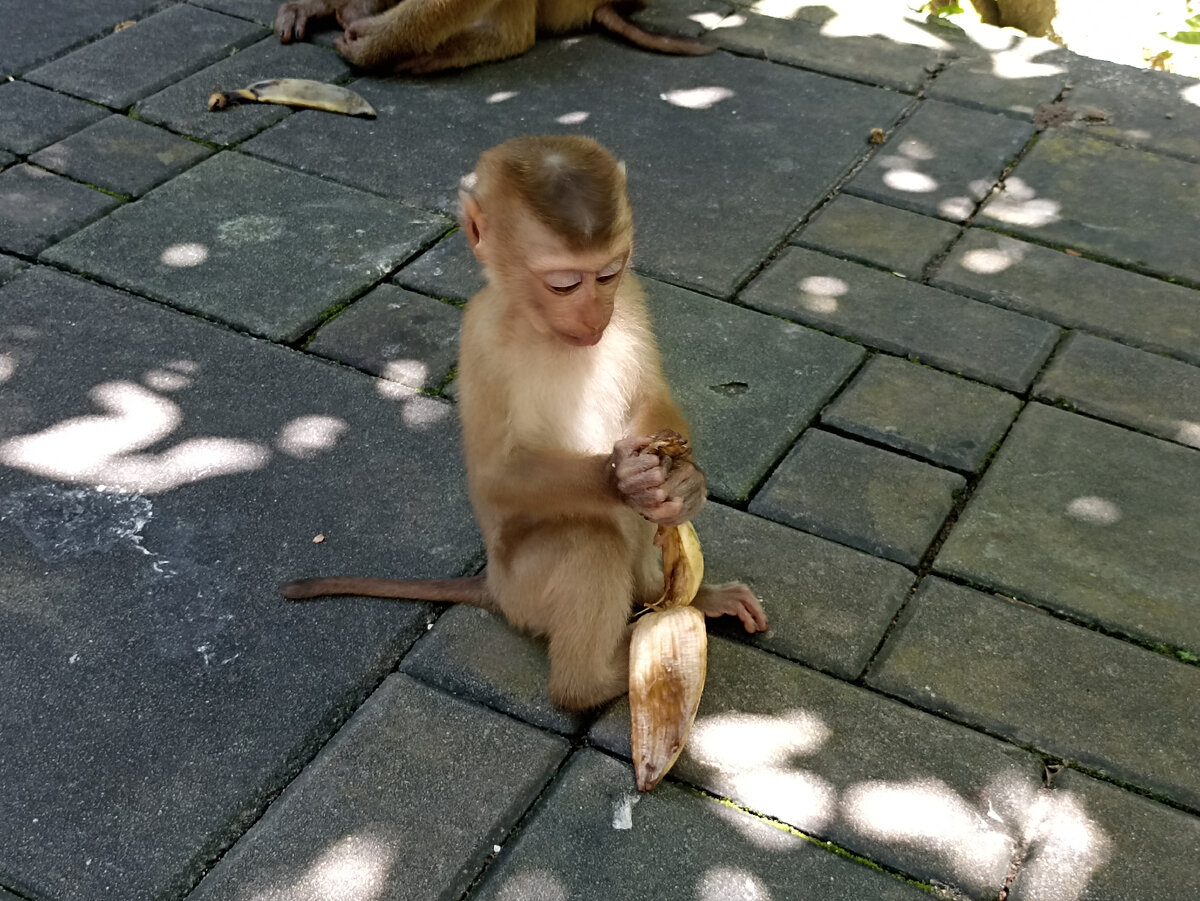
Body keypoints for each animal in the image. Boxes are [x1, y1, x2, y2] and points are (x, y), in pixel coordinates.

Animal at [285, 135, 763, 710]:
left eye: (608, 273)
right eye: (563, 284)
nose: (593, 315)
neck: (541, 327)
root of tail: (494, 585)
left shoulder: (631, 299)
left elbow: (650, 395)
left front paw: (686, 481)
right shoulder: (483, 337)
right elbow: (497, 474)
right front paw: (620, 476)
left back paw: (679, 598)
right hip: (526, 586)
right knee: (590, 538)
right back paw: (603, 673)